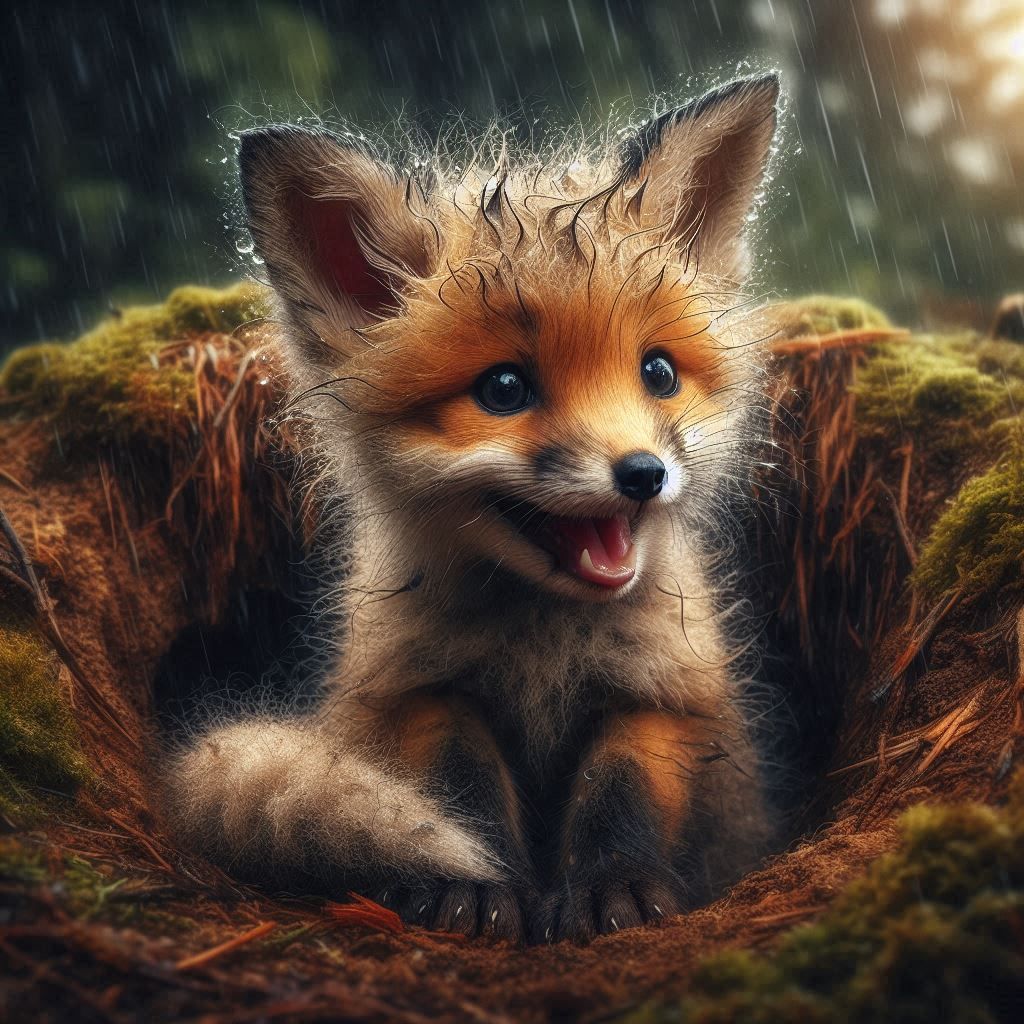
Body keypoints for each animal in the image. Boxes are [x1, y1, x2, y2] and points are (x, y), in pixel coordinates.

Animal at [166, 73, 781, 945]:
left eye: (658, 373)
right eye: (504, 389)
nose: (643, 474)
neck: (544, 644)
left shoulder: (662, 695)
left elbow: (620, 793)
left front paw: (616, 889)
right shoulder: (423, 690)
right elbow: (461, 794)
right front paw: (478, 888)